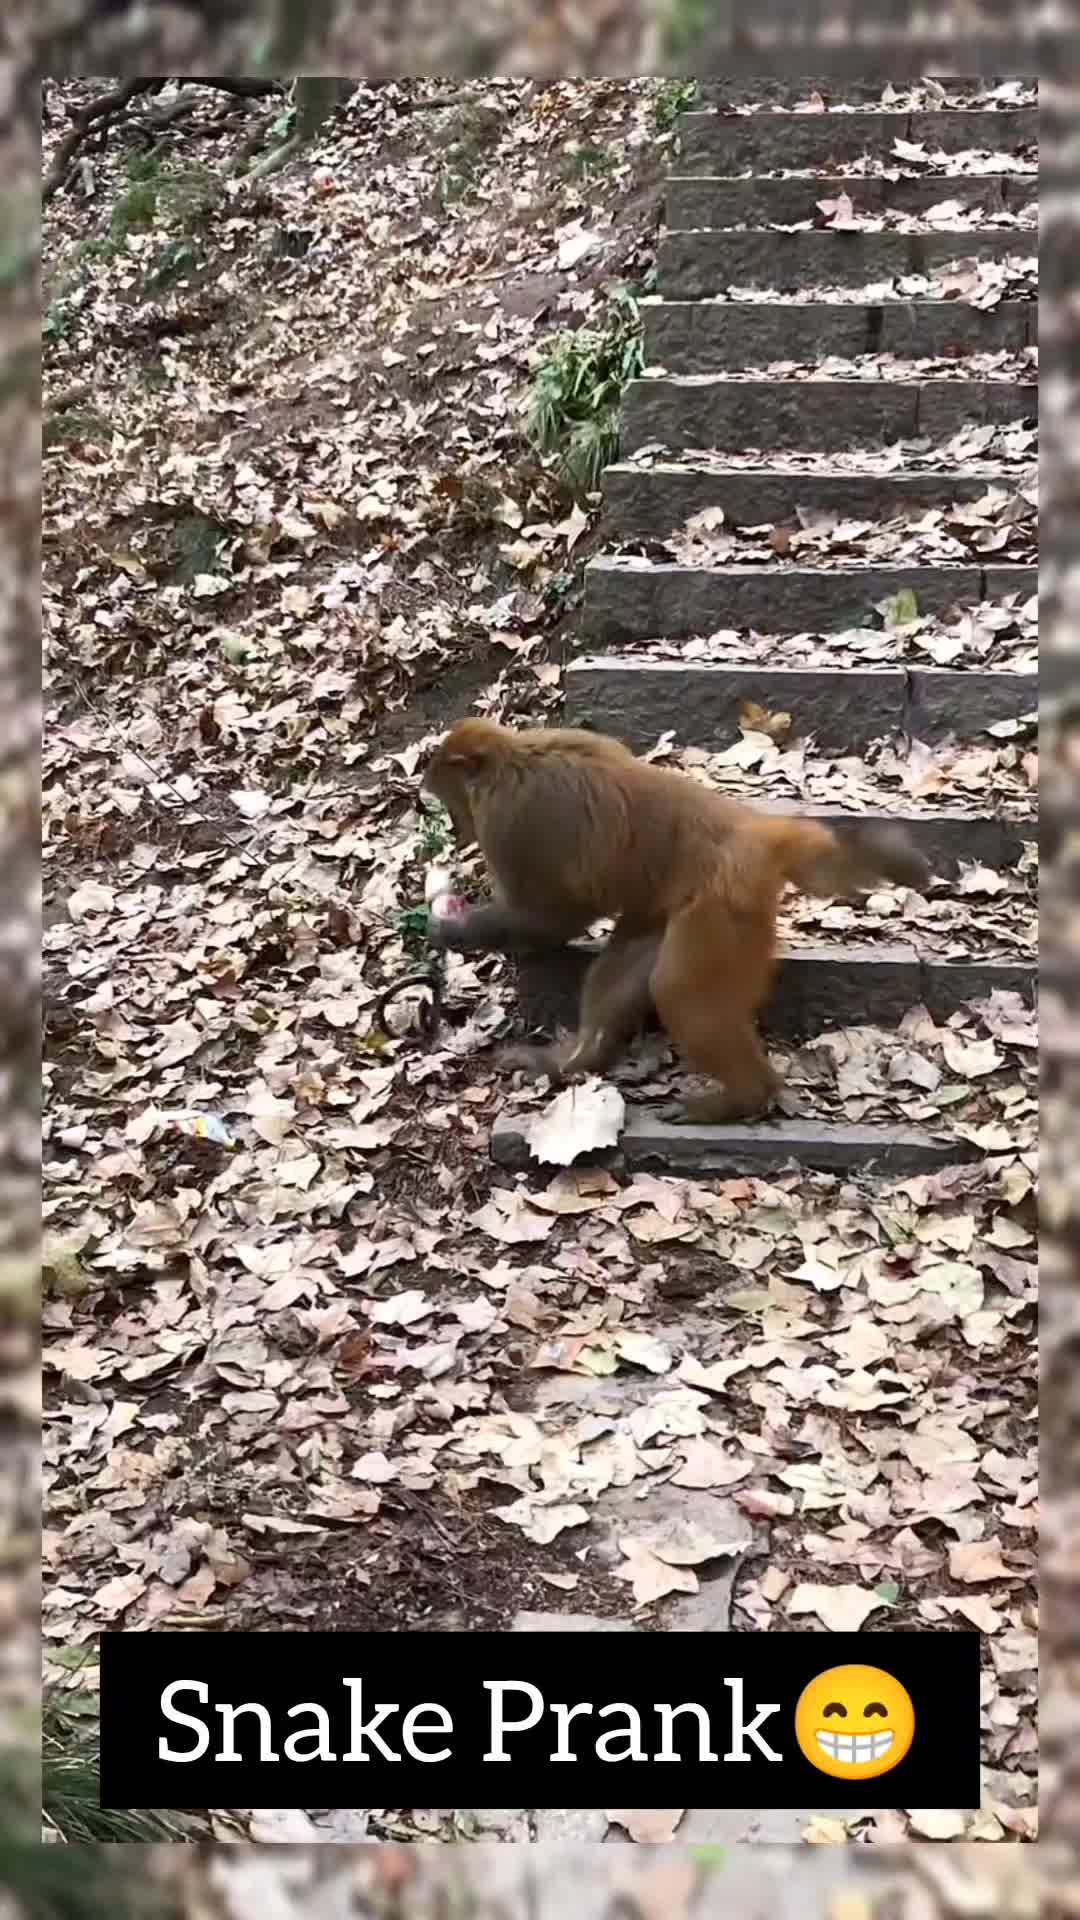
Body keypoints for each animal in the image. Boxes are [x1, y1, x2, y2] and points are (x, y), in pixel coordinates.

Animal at [421, 719, 931, 1123]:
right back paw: (579, 1061)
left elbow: (553, 915)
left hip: (723, 906)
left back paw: (744, 1098)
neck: (511, 756)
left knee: (680, 991)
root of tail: (756, 831)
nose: (453, 827)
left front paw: (454, 929)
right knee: (628, 964)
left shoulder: (510, 822)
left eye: (447, 795)